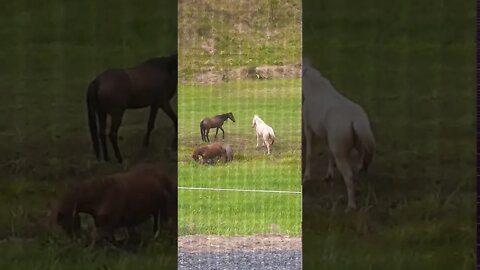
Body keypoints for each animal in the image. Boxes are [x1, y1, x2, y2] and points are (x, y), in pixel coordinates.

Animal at [304, 58, 376, 211]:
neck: (315, 88)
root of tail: (355, 120)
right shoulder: (327, 136)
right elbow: (328, 154)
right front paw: (328, 175)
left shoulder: (308, 128)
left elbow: (309, 153)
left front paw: (307, 176)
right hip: (359, 149)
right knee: (358, 169)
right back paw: (358, 190)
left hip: (341, 154)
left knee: (348, 176)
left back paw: (351, 205)